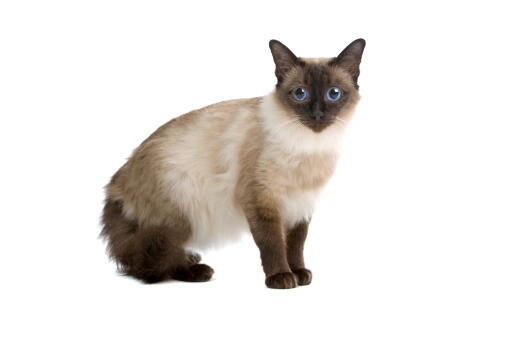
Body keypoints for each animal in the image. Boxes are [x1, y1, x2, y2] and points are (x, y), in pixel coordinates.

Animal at [101, 38, 364, 288]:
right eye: (300, 94)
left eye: (333, 94)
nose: (317, 114)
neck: (309, 147)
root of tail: (116, 182)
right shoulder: (260, 200)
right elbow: (272, 243)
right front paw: (281, 277)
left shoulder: (301, 204)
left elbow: (296, 245)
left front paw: (299, 273)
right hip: (181, 215)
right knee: (150, 262)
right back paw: (198, 270)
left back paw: (193, 259)